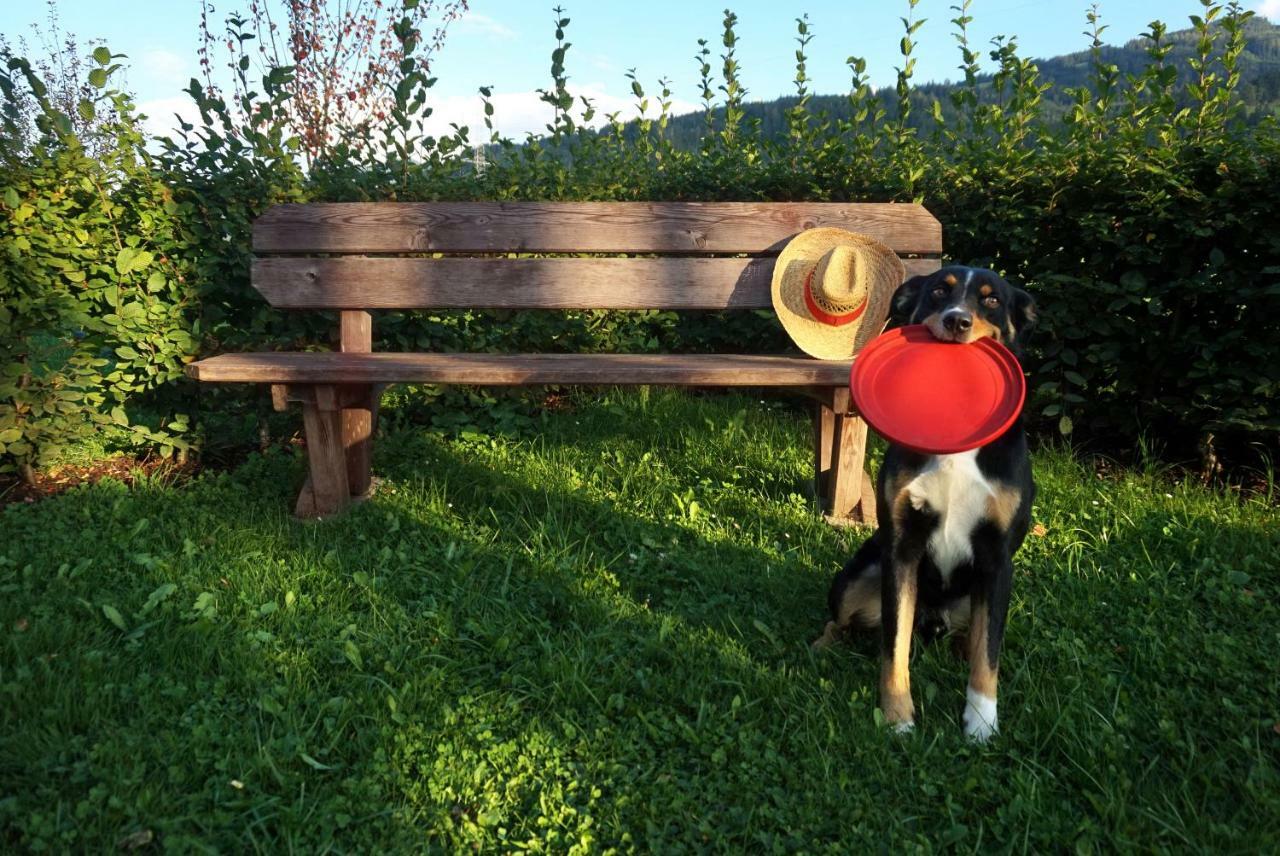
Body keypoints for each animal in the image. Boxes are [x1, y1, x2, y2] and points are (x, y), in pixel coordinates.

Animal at [819, 264, 1039, 742]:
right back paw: (822, 646)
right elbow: (894, 645)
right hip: (860, 574)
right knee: (841, 620)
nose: (957, 320)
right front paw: (898, 716)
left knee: (974, 634)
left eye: (991, 300)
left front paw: (981, 722)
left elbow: (988, 653)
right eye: (939, 291)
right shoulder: (902, 549)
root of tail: (933, 619)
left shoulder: (997, 559)